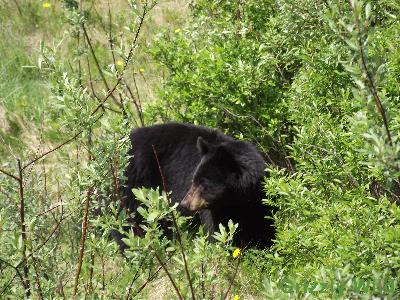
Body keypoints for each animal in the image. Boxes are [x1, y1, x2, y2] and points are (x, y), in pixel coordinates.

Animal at [119, 122, 276, 248]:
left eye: (203, 183)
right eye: (194, 180)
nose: (184, 204)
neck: (234, 201)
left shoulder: (258, 199)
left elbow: (263, 225)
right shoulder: (214, 210)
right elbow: (217, 231)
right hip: (136, 182)